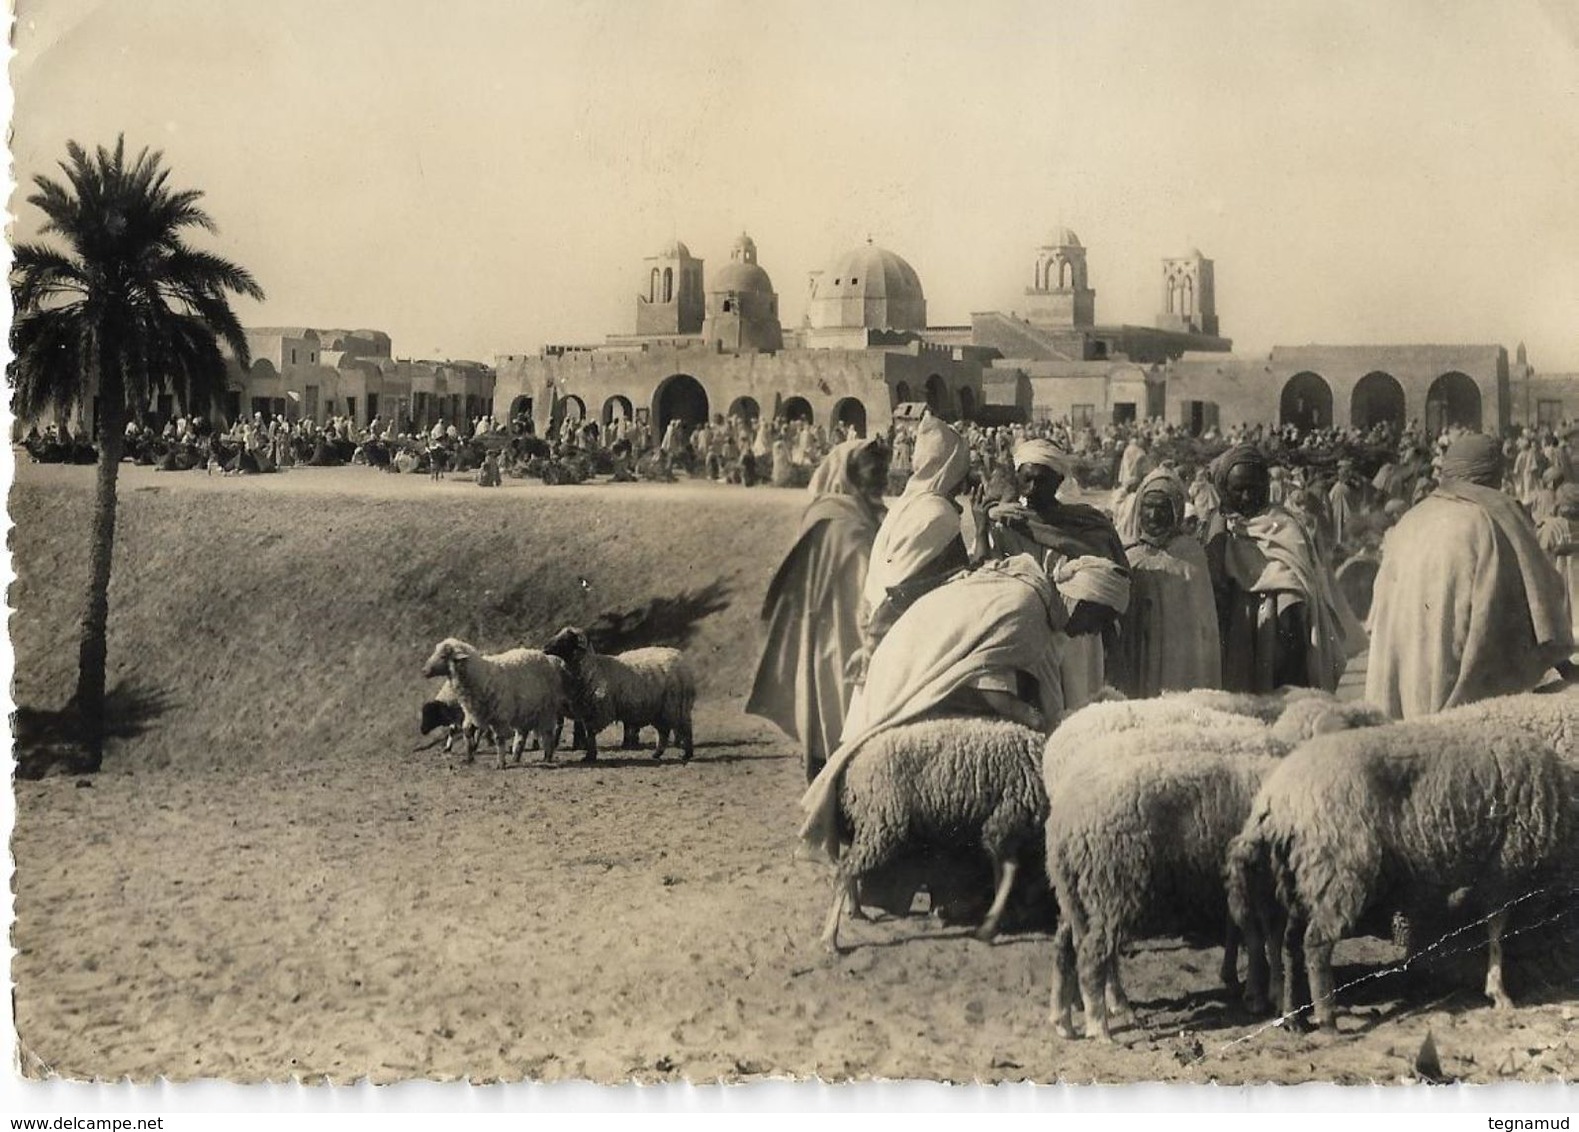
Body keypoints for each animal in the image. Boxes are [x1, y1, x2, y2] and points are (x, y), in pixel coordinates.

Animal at [416, 634, 571, 767]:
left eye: (443, 656)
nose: (424, 671)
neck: (480, 675)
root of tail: (548, 658)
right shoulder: (471, 713)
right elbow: (467, 732)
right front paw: (469, 757)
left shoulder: (499, 716)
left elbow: (499, 739)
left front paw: (500, 763)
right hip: (524, 710)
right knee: (522, 733)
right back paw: (516, 756)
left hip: (546, 709)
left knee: (548, 732)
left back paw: (547, 756)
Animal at [540, 622, 694, 764]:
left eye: (566, 640)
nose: (544, 648)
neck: (592, 669)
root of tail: (680, 657)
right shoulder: (587, 710)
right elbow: (589, 733)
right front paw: (590, 755)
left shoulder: (597, 710)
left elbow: (591, 733)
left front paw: (590, 756)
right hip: (660, 709)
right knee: (664, 731)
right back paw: (657, 754)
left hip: (676, 705)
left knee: (685, 728)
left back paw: (687, 754)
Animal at [814, 716, 1048, 953]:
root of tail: (852, 767)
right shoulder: (1003, 822)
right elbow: (1009, 871)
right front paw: (990, 927)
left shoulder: (1002, 826)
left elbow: (1002, 871)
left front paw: (998, 920)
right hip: (882, 820)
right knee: (845, 869)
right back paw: (830, 938)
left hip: (869, 822)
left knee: (848, 863)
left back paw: (856, 911)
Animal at [1231, 707, 1579, 1035]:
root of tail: (1277, 798)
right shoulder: (1504, 866)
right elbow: (1497, 931)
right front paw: (1499, 992)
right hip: (1338, 869)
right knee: (1315, 945)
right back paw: (1327, 1019)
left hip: (1300, 874)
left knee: (1290, 945)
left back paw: (1294, 1018)